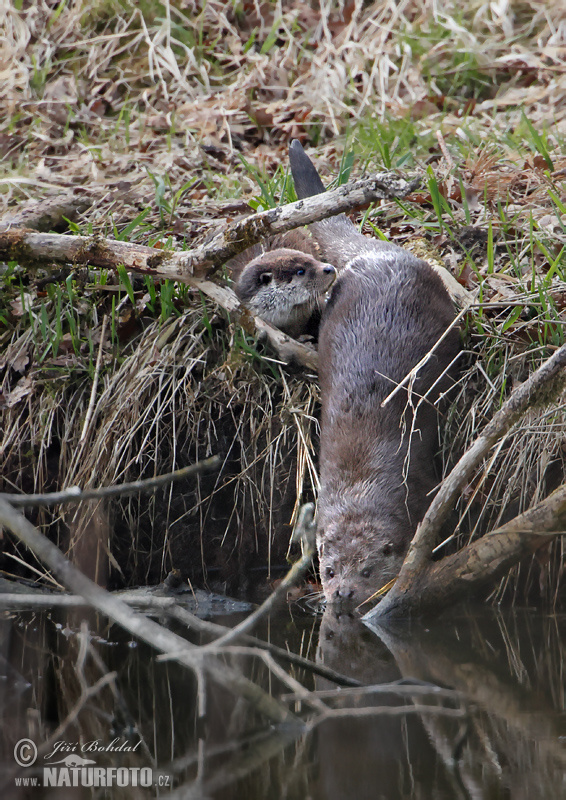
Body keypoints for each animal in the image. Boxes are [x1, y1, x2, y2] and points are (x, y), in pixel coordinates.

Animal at [288, 141, 462, 608]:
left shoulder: (419, 487)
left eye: (367, 569)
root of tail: (374, 252)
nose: (344, 593)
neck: (362, 479)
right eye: (330, 570)